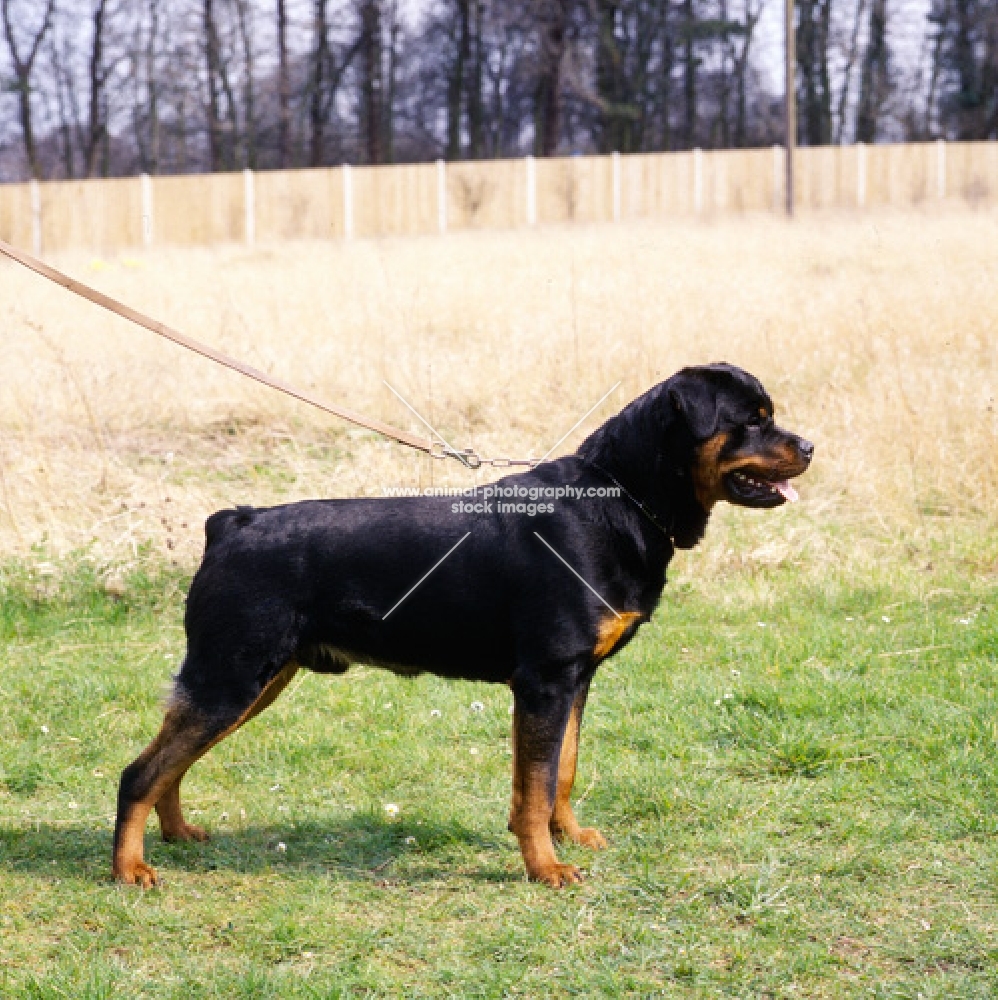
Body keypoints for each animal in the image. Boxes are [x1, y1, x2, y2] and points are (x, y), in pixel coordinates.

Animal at [115, 366, 812, 892]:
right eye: (752, 420)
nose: (808, 447)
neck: (619, 497)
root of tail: (234, 523)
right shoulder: (545, 680)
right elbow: (535, 785)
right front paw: (546, 867)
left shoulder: (575, 681)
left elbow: (561, 770)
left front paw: (566, 835)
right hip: (231, 676)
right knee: (141, 772)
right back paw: (131, 869)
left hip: (251, 681)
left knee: (171, 760)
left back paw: (176, 835)